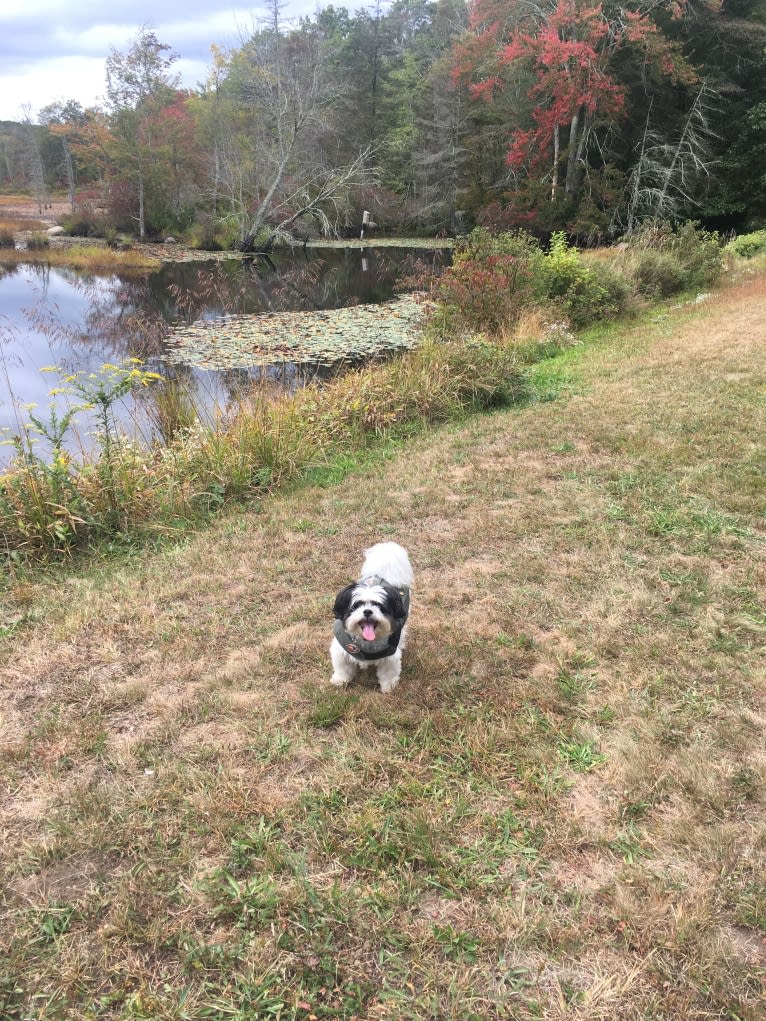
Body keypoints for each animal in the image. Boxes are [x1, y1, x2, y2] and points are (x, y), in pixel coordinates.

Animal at [330, 543, 414, 694]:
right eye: (357, 605)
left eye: (379, 606)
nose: (368, 611)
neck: (366, 642)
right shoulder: (341, 649)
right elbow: (342, 667)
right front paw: (340, 680)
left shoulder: (390, 657)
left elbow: (388, 673)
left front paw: (388, 687)